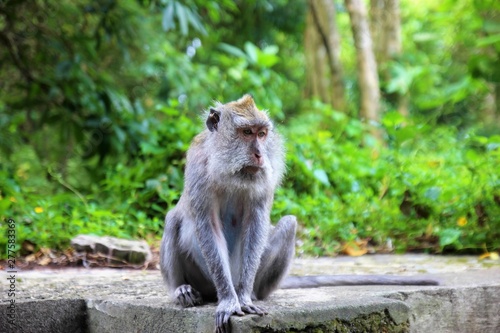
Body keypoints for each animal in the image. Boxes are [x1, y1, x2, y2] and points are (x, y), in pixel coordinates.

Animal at [160, 93, 438, 332]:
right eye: (246, 132)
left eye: (262, 134)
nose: (259, 154)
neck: (228, 171)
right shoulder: (198, 165)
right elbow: (207, 225)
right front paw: (229, 299)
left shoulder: (264, 179)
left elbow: (256, 224)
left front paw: (242, 297)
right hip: (204, 279)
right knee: (173, 219)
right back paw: (182, 290)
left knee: (289, 224)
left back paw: (252, 292)